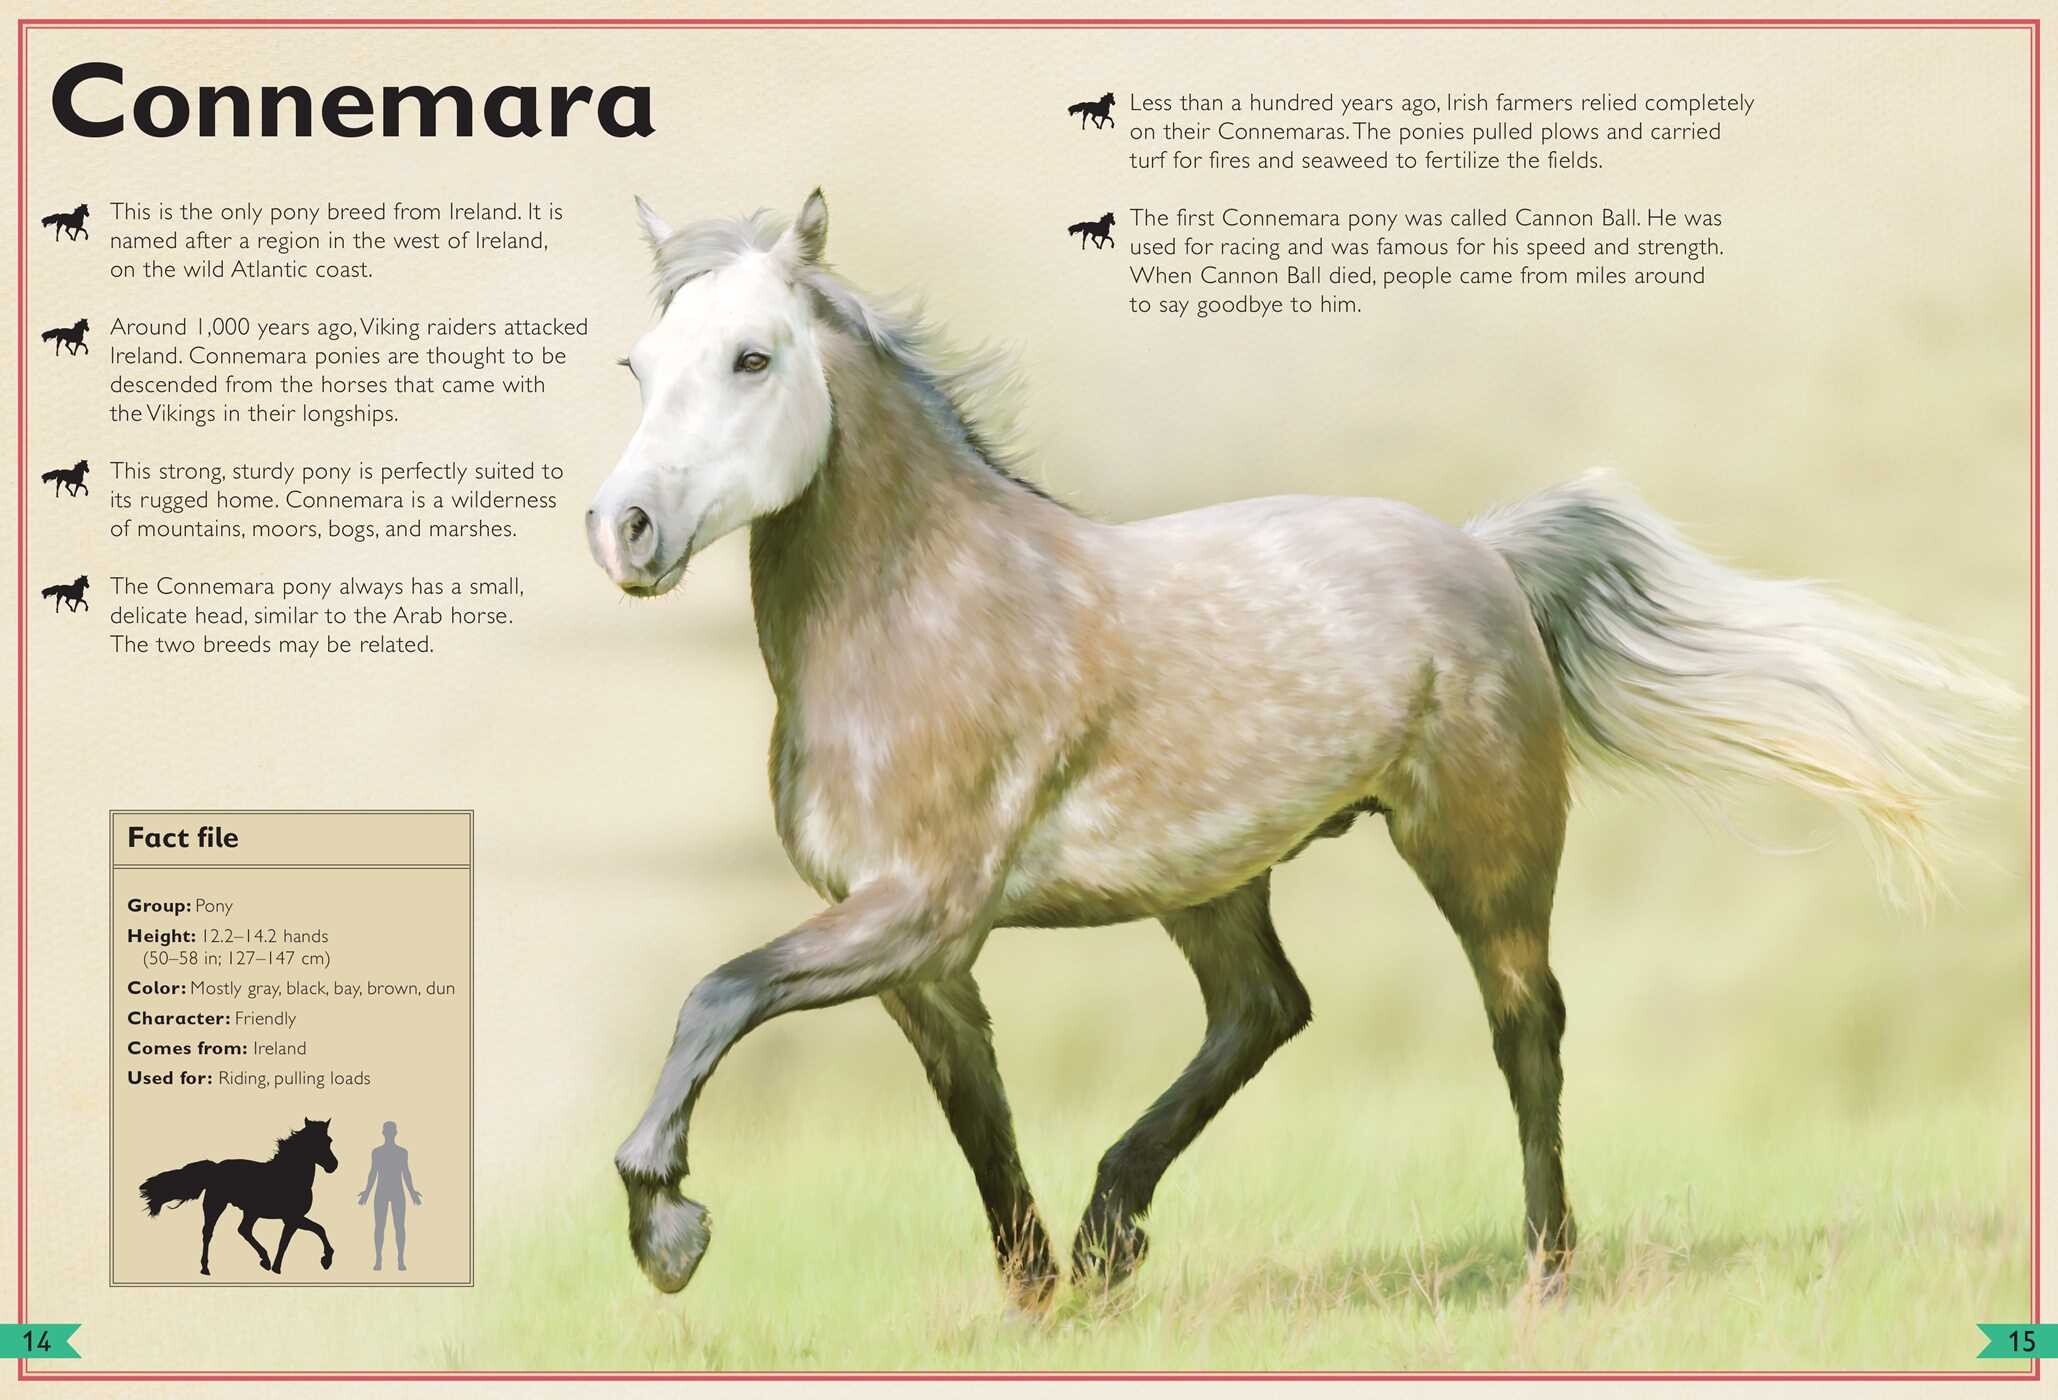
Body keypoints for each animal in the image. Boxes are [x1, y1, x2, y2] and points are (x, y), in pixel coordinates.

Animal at [139, 1118, 339, 1276]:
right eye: (315, 1142)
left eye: (329, 1140)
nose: (333, 1165)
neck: (290, 1176)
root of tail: (215, 1168)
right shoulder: (292, 1218)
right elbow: (305, 1235)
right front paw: (324, 1261)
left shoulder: (292, 1219)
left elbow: (311, 1232)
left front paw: (279, 1267)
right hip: (216, 1205)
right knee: (209, 1232)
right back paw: (206, 1268)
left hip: (250, 1212)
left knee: (243, 1230)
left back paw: (264, 1261)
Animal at [586, 190, 2015, 1305]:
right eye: (640, 365)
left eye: (753, 357)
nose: (627, 530)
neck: (922, 613)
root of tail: (1484, 553)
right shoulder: (918, 955)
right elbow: (975, 1116)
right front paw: (1041, 1293)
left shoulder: (921, 910)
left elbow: (717, 991)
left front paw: (668, 1231)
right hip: (1212, 880)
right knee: (1267, 1008)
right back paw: (1114, 1233)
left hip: (1480, 849)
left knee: (1526, 1025)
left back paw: (1548, 1267)